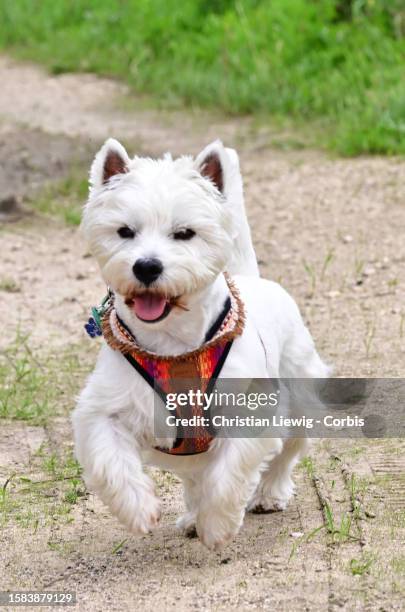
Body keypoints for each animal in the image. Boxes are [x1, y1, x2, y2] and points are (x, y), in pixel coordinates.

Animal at [71, 139, 326, 548]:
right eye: (124, 231)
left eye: (184, 233)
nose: (146, 266)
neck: (174, 344)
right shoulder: (104, 410)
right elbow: (111, 462)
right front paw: (139, 510)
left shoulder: (250, 411)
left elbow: (228, 475)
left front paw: (217, 525)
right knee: (195, 475)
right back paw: (192, 516)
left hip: (300, 389)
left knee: (287, 451)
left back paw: (268, 494)